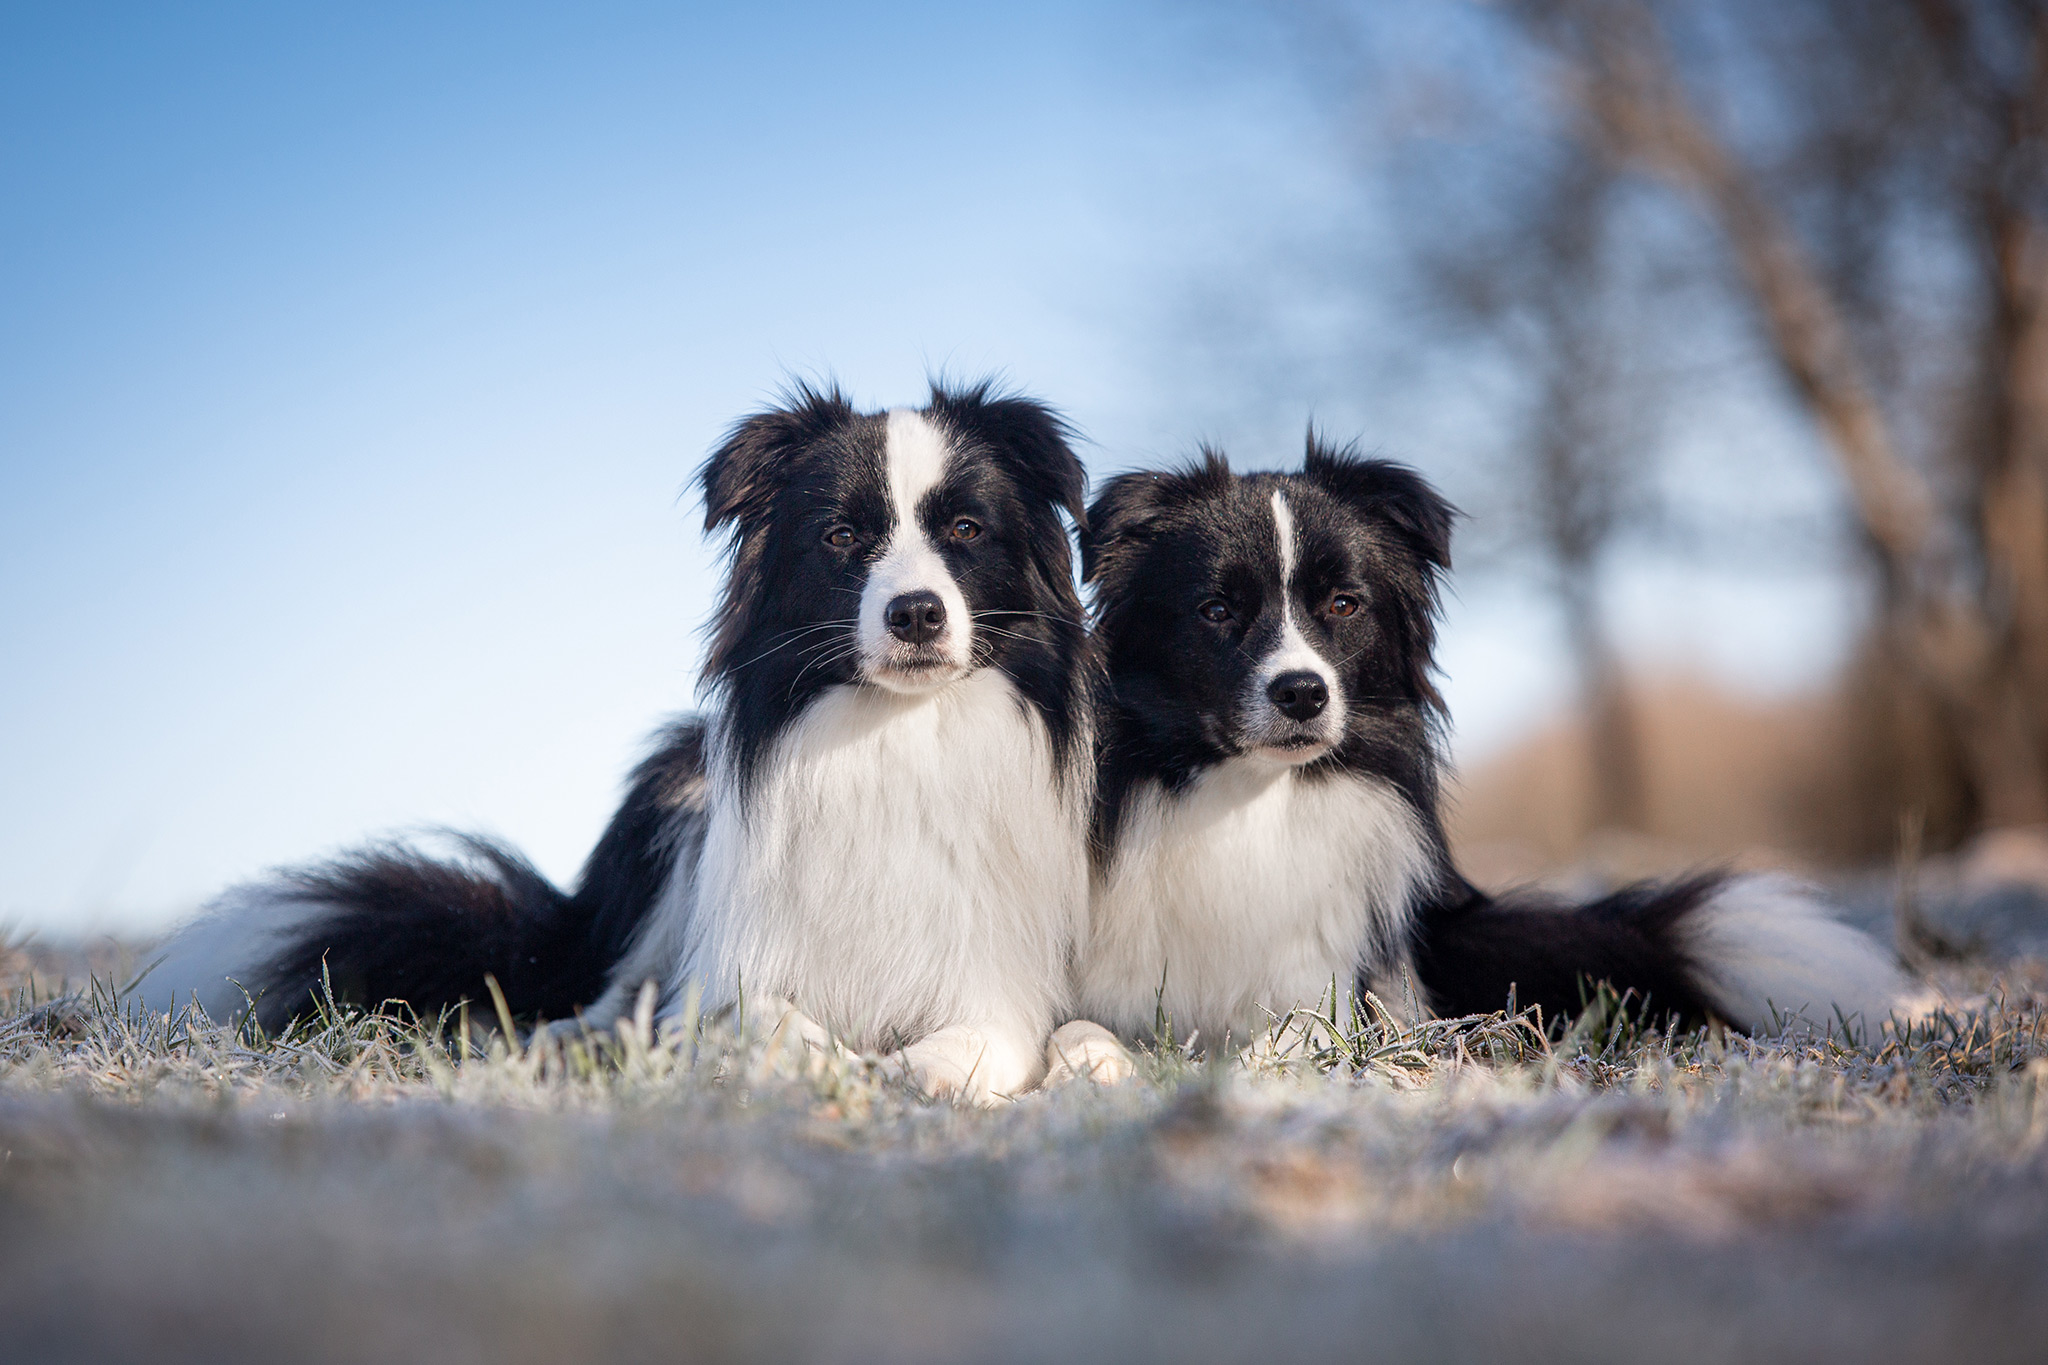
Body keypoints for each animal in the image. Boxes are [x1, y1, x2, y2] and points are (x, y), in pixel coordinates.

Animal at [138, 378, 1105, 1105]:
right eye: (841, 536)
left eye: (967, 530)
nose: (915, 613)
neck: (896, 735)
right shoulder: (732, 961)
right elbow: (755, 1016)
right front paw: (820, 1062)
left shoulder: (1000, 983)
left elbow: (976, 1041)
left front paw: (910, 1070)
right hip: (673, 804)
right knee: (608, 992)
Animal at [1073, 444, 1916, 1055]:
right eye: (1216, 610)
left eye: (1344, 604)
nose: (1302, 692)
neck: (1254, 796)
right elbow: (1085, 1030)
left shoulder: (1333, 994)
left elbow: (1287, 1041)